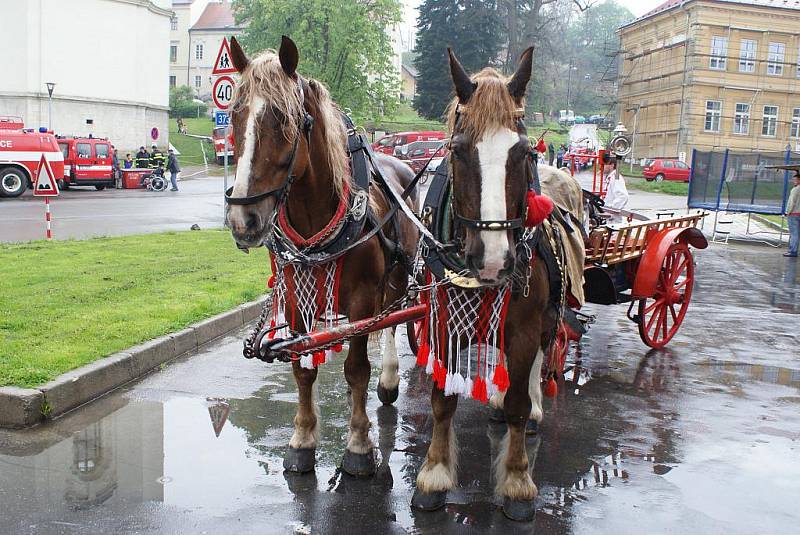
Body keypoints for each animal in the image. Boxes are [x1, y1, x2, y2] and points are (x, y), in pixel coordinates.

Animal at [227, 35, 418, 476]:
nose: (243, 219)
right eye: (234, 114)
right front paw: (301, 440)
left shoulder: (364, 300)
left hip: (399, 276)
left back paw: (389, 379)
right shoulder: (296, 296)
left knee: (394, 319)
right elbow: (301, 367)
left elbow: (356, 369)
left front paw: (359, 445)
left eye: (283, 118)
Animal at [412, 48, 556, 520]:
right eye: (457, 151)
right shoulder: (441, 322)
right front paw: (435, 474)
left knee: (534, 368)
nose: (493, 259)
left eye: (524, 152)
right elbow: (442, 399)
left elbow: (516, 405)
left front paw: (517, 481)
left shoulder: (526, 327)